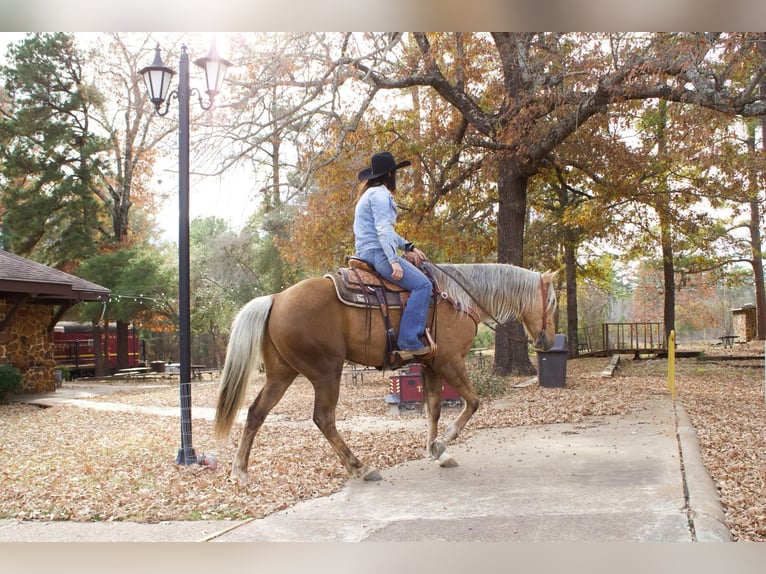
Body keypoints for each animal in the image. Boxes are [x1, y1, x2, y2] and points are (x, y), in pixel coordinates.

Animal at [214, 264, 560, 486]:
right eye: (553, 302)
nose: (548, 341)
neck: (459, 297)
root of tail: (276, 299)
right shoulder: (450, 362)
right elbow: (473, 402)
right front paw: (442, 443)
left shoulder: (430, 365)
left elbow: (433, 409)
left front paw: (437, 452)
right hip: (326, 372)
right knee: (324, 418)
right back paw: (361, 467)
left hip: (282, 374)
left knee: (256, 413)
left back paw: (240, 471)